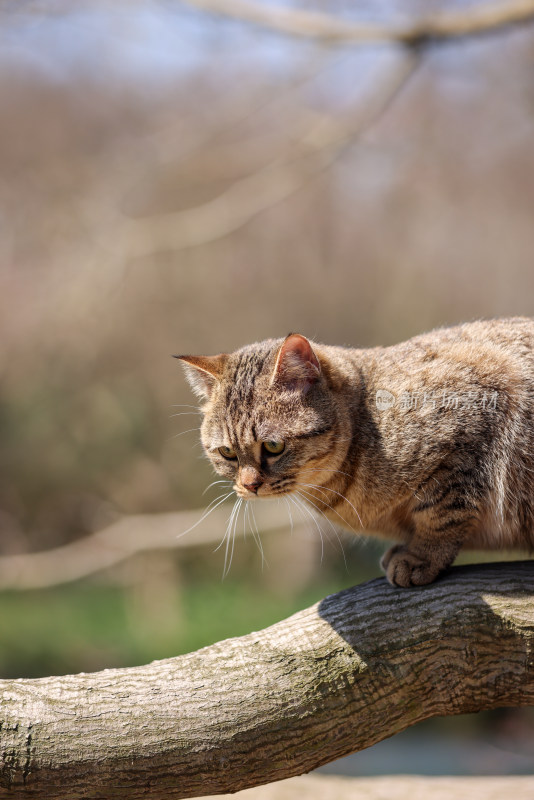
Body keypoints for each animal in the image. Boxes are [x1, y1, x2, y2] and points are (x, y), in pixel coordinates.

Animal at [178, 318, 534, 588]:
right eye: (227, 453)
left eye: (273, 446)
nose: (249, 485)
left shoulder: (472, 422)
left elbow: (442, 512)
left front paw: (422, 556)